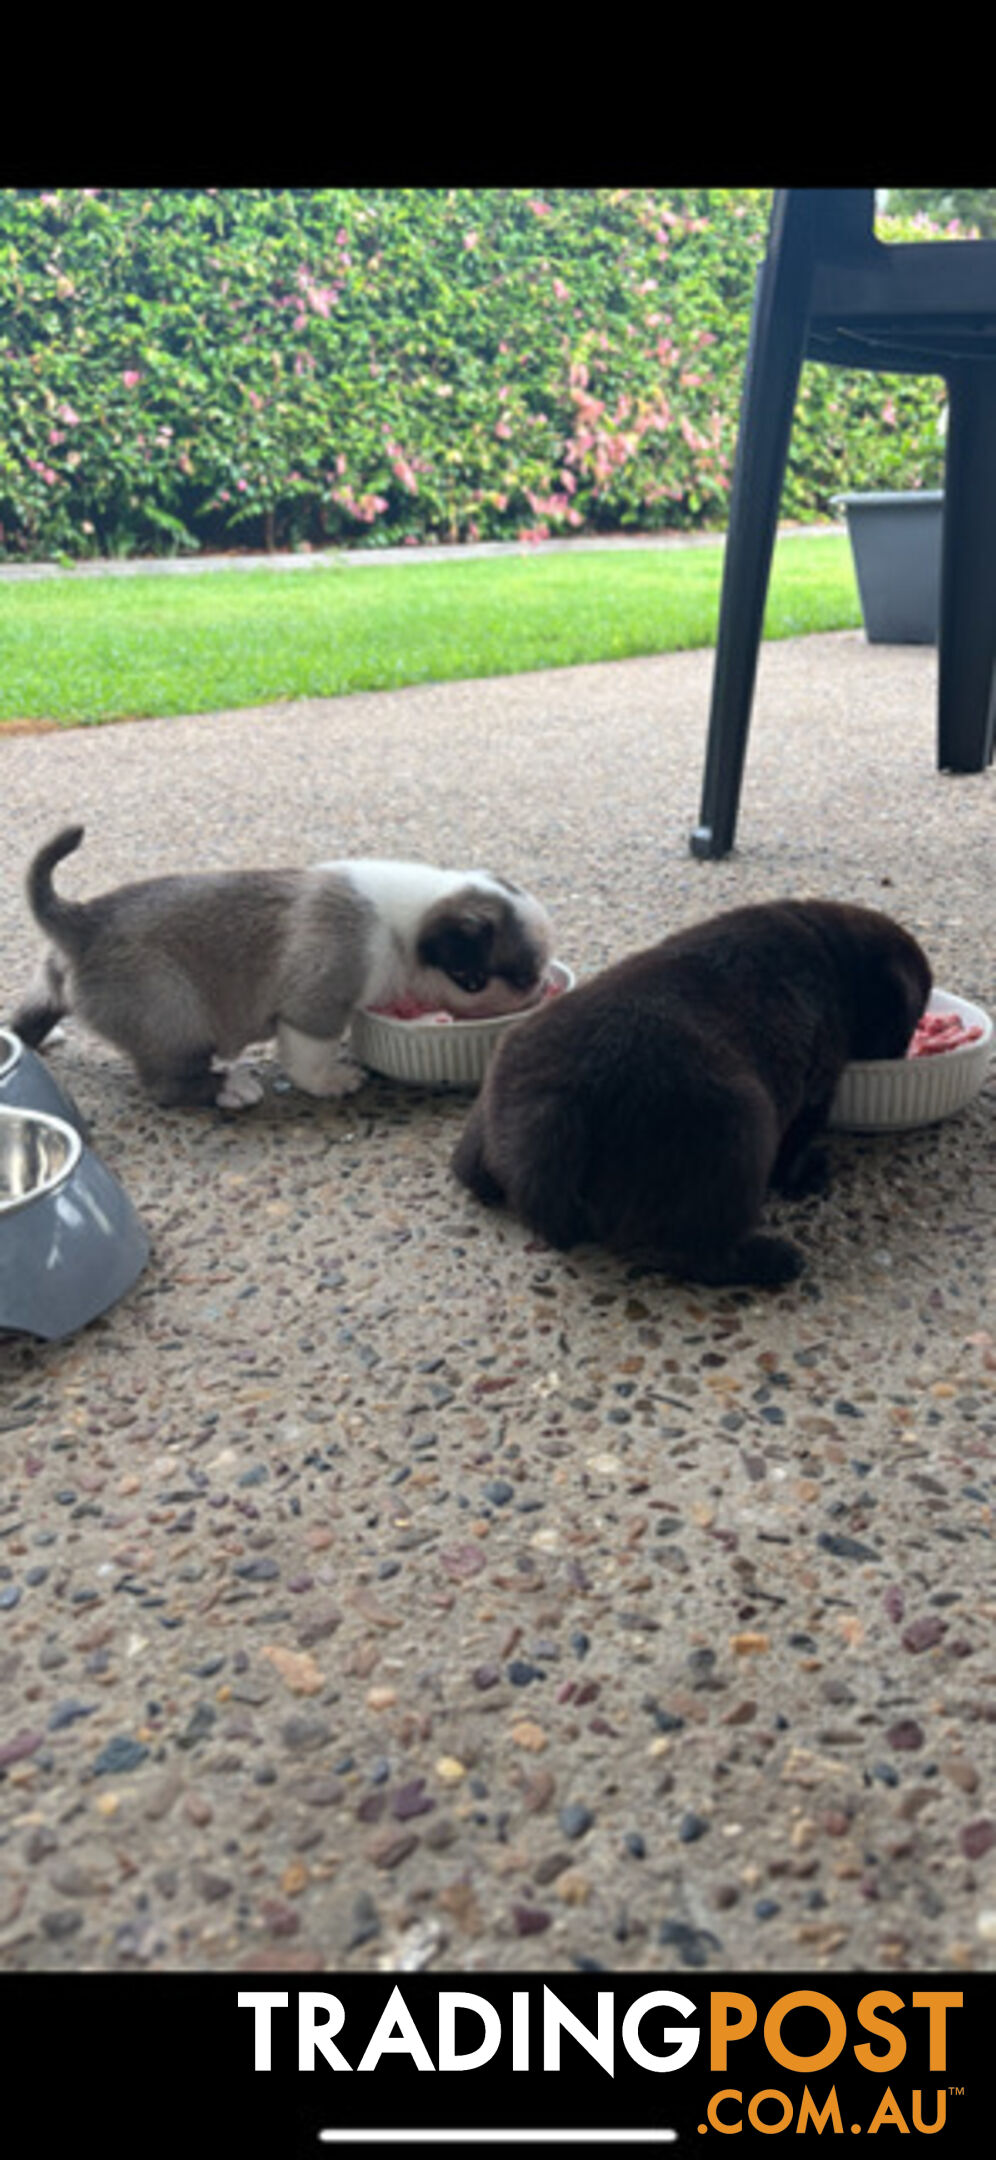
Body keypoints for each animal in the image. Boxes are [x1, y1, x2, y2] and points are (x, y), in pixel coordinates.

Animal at [9, 816, 550, 1105]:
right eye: (521, 975)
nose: (542, 986)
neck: (405, 926)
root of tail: (82, 920)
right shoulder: (315, 1007)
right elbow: (310, 1057)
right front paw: (330, 1082)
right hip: (175, 1016)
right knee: (166, 1084)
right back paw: (229, 1087)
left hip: (49, 987)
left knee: (27, 1017)